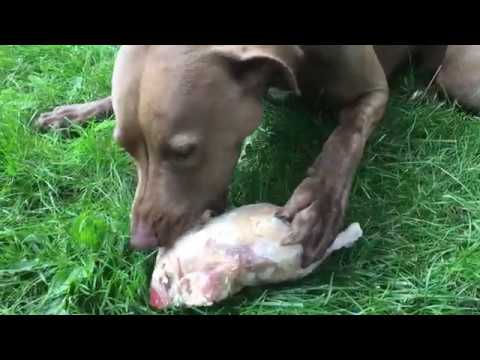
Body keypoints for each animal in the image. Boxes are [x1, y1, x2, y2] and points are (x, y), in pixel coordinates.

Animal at [35, 45, 480, 266]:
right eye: (125, 148)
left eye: (184, 151)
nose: (140, 242)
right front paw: (73, 113)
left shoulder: (371, 94)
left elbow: (343, 142)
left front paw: (317, 204)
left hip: (463, 74)